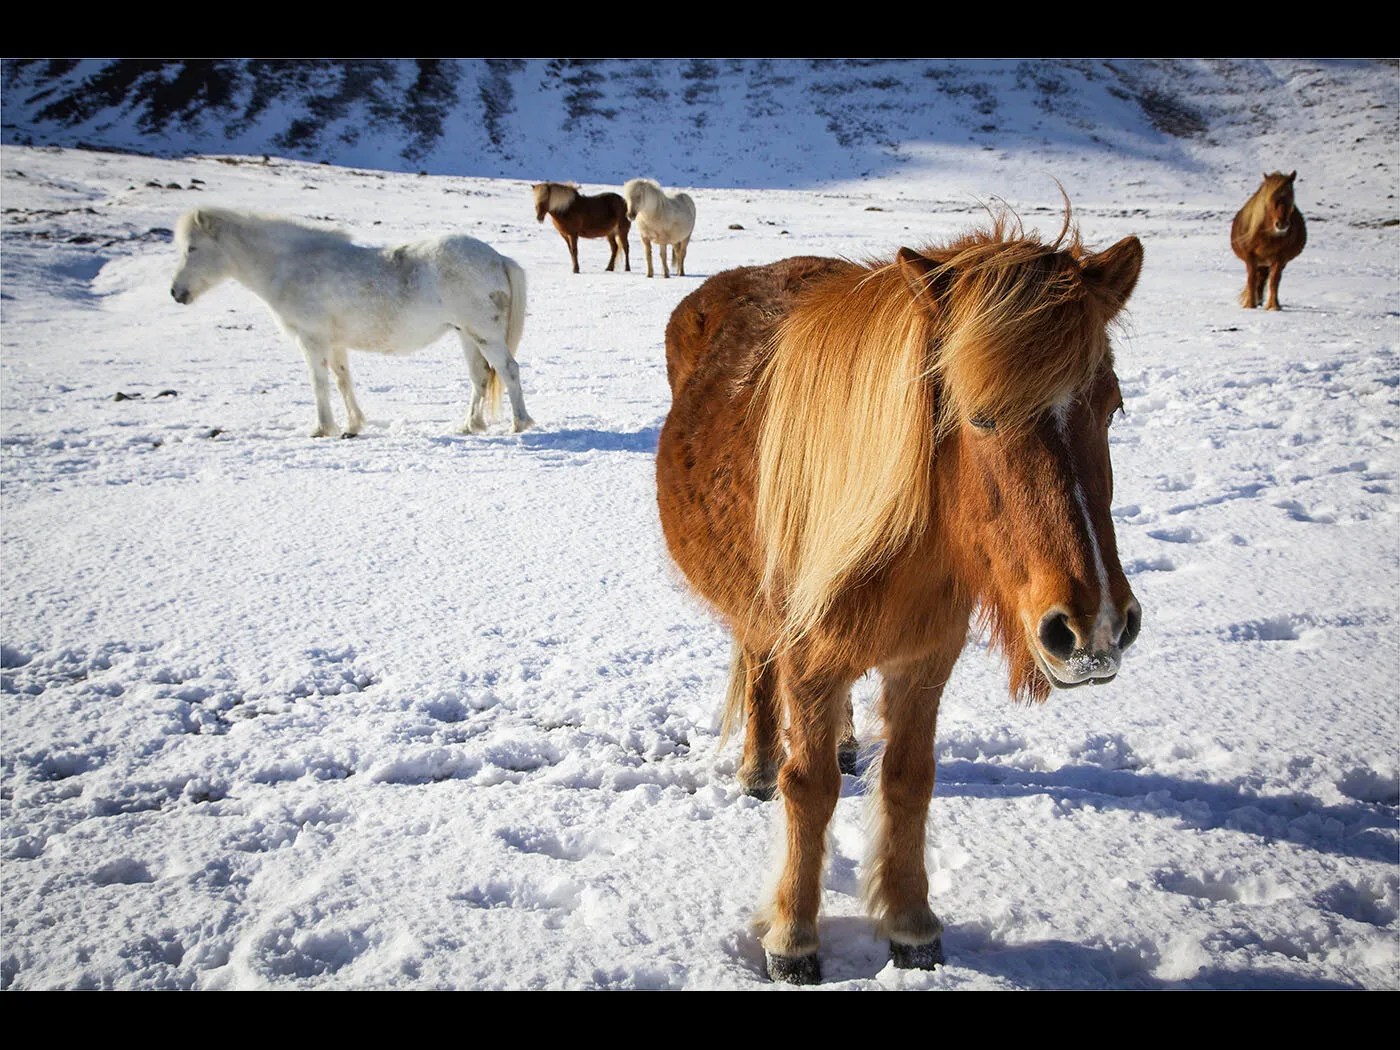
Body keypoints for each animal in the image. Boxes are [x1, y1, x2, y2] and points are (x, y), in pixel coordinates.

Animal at [169, 208, 534, 437]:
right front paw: (353, 425)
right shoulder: (335, 343)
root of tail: (498, 258)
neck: (290, 265)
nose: (175, 292)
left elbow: (319, 384)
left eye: (192, 248)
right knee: (480, 378)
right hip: (467, 335)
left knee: (508, 370)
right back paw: (470, 425)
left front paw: (321, 429)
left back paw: (520, 424)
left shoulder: (312, 340)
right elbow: (343, 381)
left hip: (485, 335)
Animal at [656, 211, 1144, 984]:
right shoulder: (809, 659)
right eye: (979, 416)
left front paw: (913, 926)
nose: (1093, 629)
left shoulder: (924, 662)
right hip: (761, 613)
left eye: (1113, 406)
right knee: (757, 661)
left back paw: (847, 742)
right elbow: (809, 787)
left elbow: (911, 782)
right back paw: (757, 767)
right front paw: (793, 939)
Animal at [1231, 171, 1306, 310]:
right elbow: (1251, 279)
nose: (1281, 224)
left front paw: (1274, 306)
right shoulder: (1250, 257)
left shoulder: (1280, 258)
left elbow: (1274, 281)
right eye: (1271, 200)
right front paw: (1250, 305)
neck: (1267, 235)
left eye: (1291, 197)